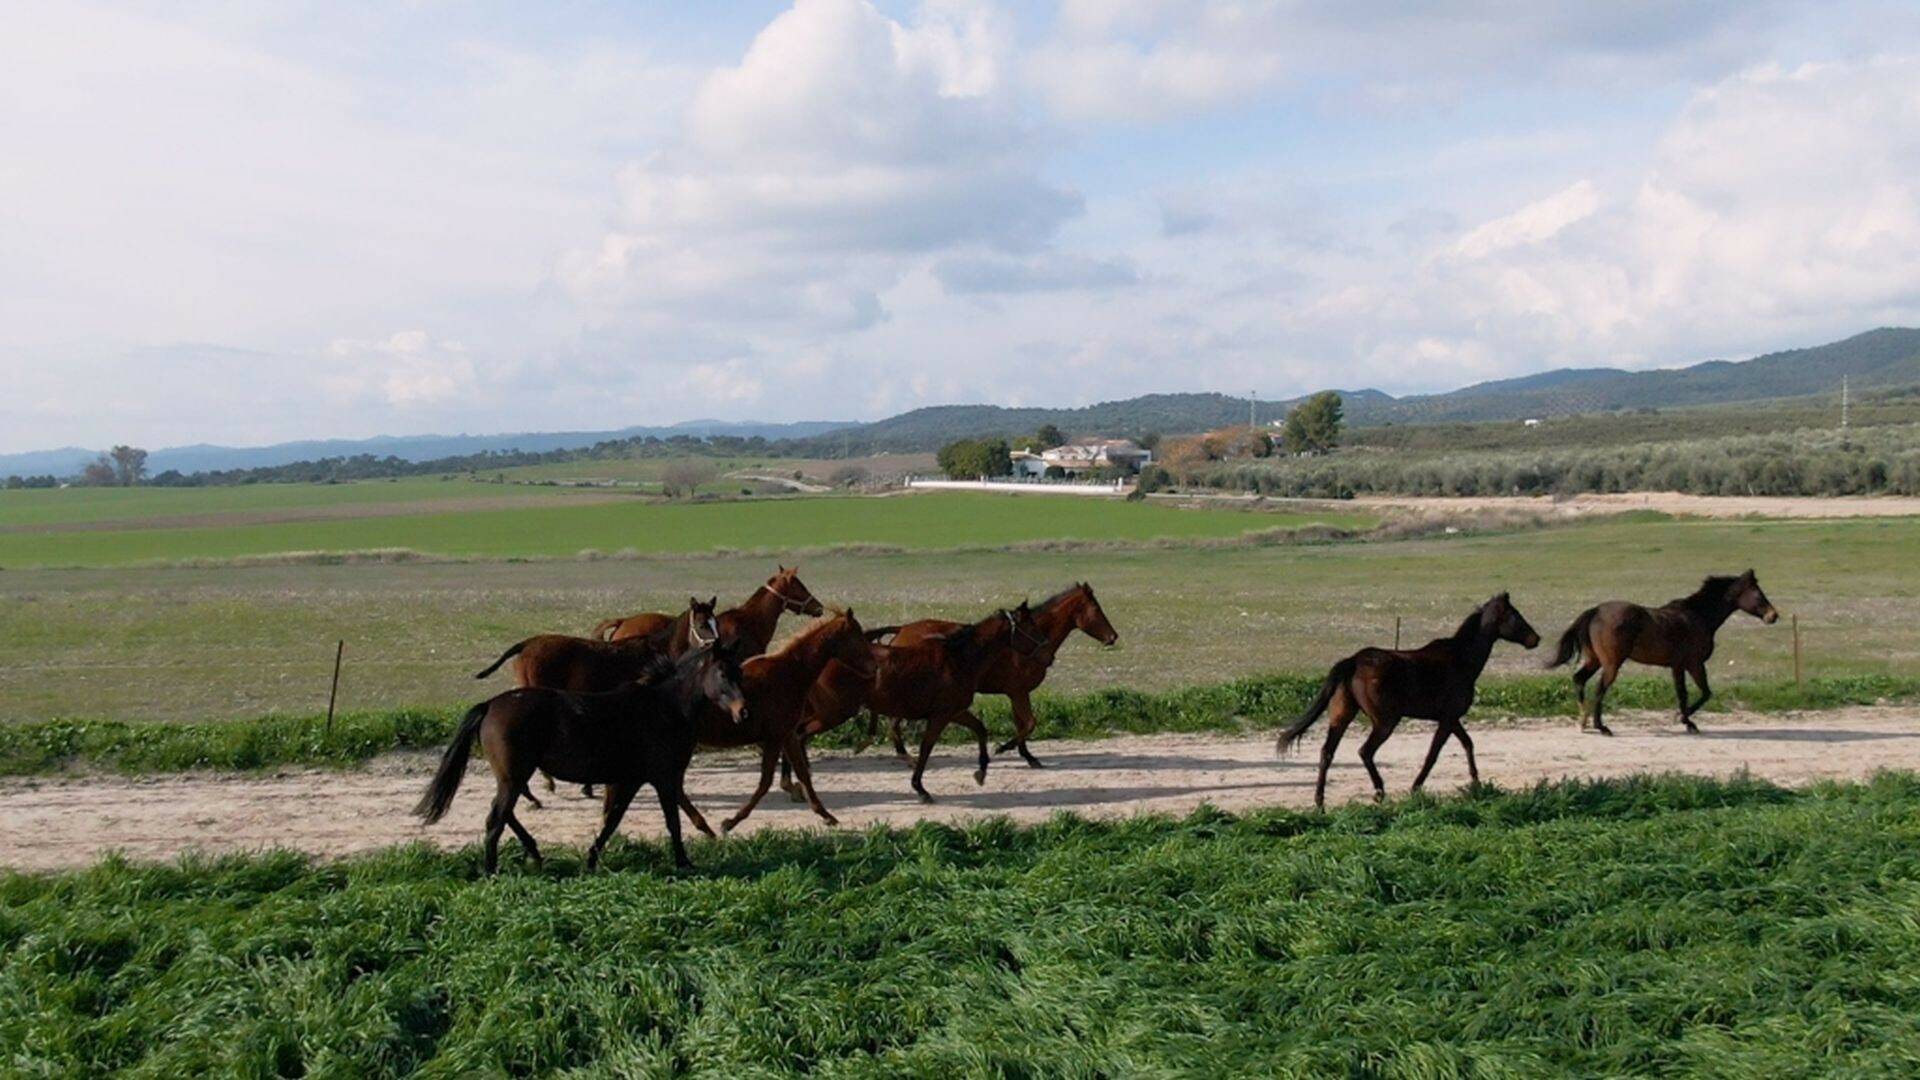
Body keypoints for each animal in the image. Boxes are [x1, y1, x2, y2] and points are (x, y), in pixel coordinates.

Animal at [416, 638, 744, 876]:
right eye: (722, 673)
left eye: (739, 671)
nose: (743, 712)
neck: (665, 707)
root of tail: (491, 705)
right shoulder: (662, 778)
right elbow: (671, 821)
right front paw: (684, 863)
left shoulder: (631, 779)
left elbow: (612, 821)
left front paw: (590, 861)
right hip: (513, 775)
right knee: (496, 818)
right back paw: (491, 871)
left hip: (512, 776)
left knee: (505, 813)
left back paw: (534, 853)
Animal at [787, 599, 1044, 803]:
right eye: (1031, 626)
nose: (1042, 651)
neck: (958, 659)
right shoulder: (941, 715)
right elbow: (926, 747)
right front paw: (920, 789)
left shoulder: (954, 711)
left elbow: (980, 729)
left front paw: (981, 772)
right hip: (834, 712)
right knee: (798, 736)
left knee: (795, 735)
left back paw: (794, 785)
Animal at [864, 584, 1121, 768]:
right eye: (1096, 610)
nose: (1113, 637)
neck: (1024, 642)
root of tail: (903, 630)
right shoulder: (1018, 692)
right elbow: (1029, 723)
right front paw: (1004, 748)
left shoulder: (1017, 693)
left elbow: (1022, 723)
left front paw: (1028, 756)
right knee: (894, 723)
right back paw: (907, 758)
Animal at [1274, 588, 1543, 807]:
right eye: (1515, 615)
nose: (1535, 639)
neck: (1461, 659)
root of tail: (1354, 661)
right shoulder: (1448, 719)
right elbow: (1433, 754)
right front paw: (1416, 788)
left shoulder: (1450, 718)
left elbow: (1467, 744)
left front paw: (1476, 784)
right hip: (1385, 721)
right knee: (1365, 751)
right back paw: (1379, 792)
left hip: (1342, 716)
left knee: (1327, 753)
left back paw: (1320, 802)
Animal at [1543, 568, 1781, 734]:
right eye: (1758, 594)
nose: (1773, 616)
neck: (1698, 617)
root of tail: (1596, 611)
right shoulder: (1694, 664)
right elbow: (1701, 693)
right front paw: (1685, 720)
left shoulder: (1678, 666)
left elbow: (1685, 693)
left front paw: (1685, 720)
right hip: (1611, 664)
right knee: (1599, 689)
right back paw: (1601, 727)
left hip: (1595, 660)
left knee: (1579, 679)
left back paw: (1583, 722)